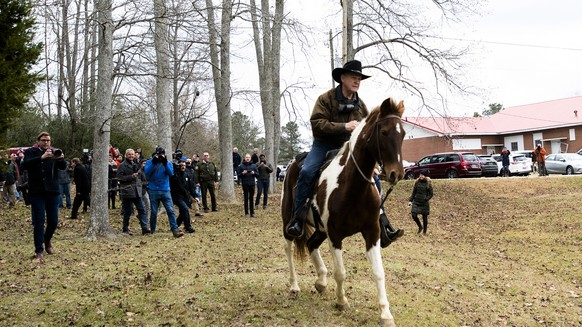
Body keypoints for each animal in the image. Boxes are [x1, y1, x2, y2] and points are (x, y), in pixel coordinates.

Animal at [282, 98, 406, 327]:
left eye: (402, 133)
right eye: (384, 132)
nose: (397, 173)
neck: (353, 186)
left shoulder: (372, 232)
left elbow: (378, 273)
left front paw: (385, 313)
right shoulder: (335, 234)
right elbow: (340, 272)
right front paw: (341, 302)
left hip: (320, 231)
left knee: (311, 244)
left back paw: (321, 281)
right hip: (288, 221)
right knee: (289, 248)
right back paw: (294, 286)